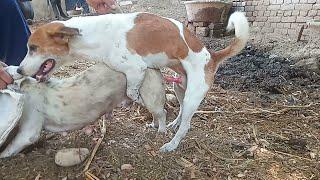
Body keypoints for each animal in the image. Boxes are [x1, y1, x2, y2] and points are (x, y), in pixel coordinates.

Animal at [18, 11, 250, 151]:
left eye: (33, 48)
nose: (19, 70)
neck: (96, 35)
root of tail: (212, 56)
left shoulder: (136, 69)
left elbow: (133, 93)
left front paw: (141, 107)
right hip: (179, 87)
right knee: (182, 111)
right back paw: (173, 123)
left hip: (194, 94)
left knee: (186, 125)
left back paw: (171, 144)